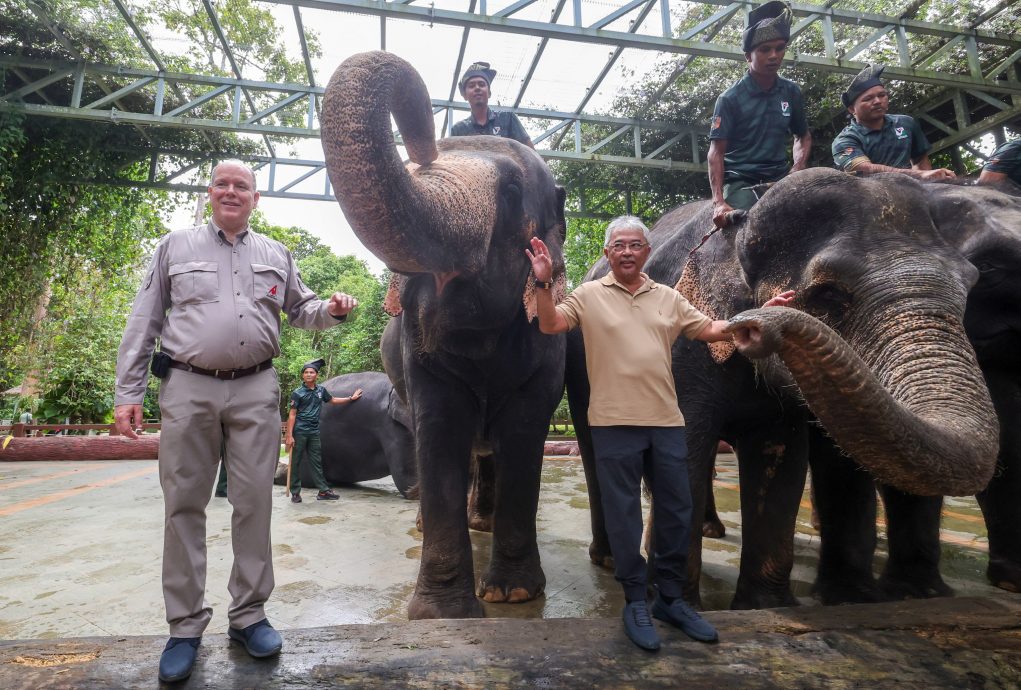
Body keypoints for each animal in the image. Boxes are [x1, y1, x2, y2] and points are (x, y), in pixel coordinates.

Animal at [322, 49, 567, 620]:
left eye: (512, 193)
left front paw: (513, 595)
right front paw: (444, 615)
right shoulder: (419, 358)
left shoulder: (547, 354)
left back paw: (485, 526)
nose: (420, 142)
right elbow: (438, 425)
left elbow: (525, 430)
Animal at [567, 168, 996, 608]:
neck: (742, 222)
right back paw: (607, 559)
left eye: (971, 285)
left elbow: (782, 458)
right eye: (828, 293)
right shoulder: (680, 351)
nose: (755, 326)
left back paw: (711, 531)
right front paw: (674, 606)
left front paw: (763, 607)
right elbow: (682, 448)